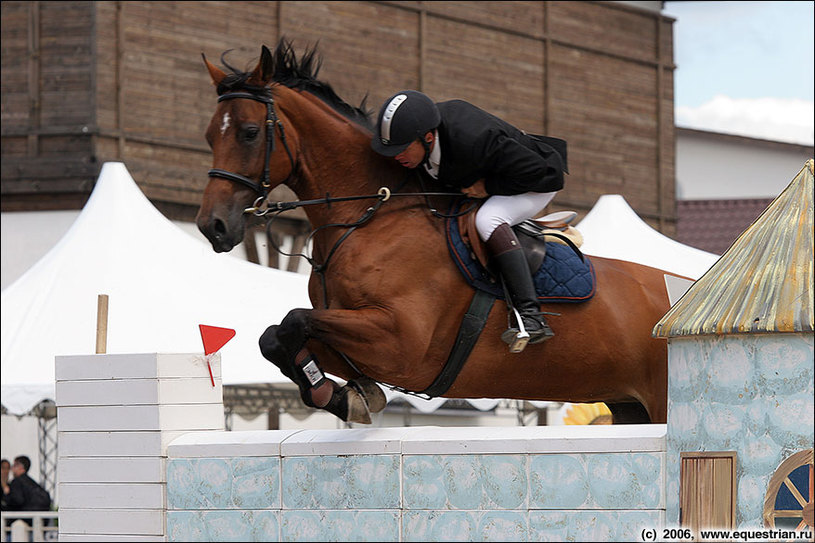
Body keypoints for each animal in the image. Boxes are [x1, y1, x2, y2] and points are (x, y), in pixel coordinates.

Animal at [196, 41, 668, 424]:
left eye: (250, 133)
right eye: (209, 136)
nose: (212, 226)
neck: (369, 215)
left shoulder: (401, 344)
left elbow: (294, 321)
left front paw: (342, 396)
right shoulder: (355, 338)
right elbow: (276, 337)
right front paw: (348, 396)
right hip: (629, 407)